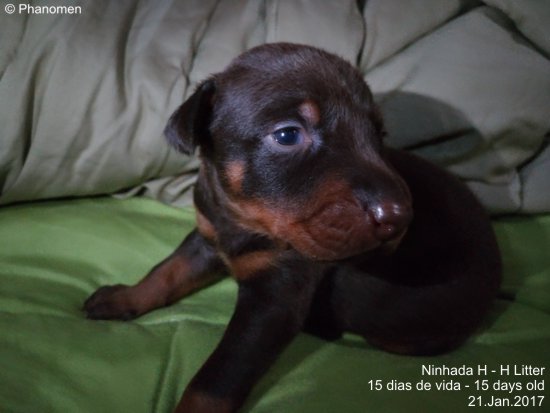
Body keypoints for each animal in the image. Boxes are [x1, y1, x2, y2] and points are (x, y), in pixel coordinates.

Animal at [84, 43, 501, 413]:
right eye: (288, 134)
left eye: (378, 136)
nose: (399, 217)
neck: (241, 220)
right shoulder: (206, 237)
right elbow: (166, 272)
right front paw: (124, 298)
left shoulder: (275, 298)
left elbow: (216, 380)